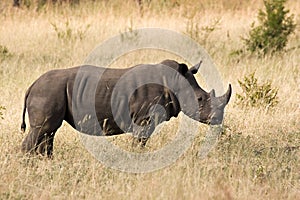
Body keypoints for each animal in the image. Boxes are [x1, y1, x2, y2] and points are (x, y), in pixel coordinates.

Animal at [20, 59, 232, 156]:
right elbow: (140, 142)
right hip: (48, 91)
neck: (173, 82)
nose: (217, 119)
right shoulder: (143, 119)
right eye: (200, 99)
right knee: (42, 130)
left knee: (48, 133)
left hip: (50, 91)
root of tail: (31, 86)